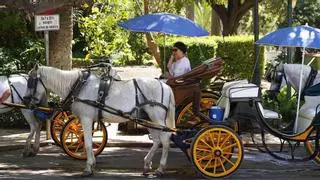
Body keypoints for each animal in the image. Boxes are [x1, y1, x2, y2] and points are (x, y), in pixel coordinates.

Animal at [24, 65, 175, 176]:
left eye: (30, 81)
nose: (25, 100)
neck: (78, 85)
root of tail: (166, 87)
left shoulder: (86, 119)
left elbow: (87, 143)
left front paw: (88, 168)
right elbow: (88, 142)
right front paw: (92, 164)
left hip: (157, 118)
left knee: (165, 139)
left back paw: (160, 168)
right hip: (147, 118)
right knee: (157, 140)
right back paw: (147, 164)